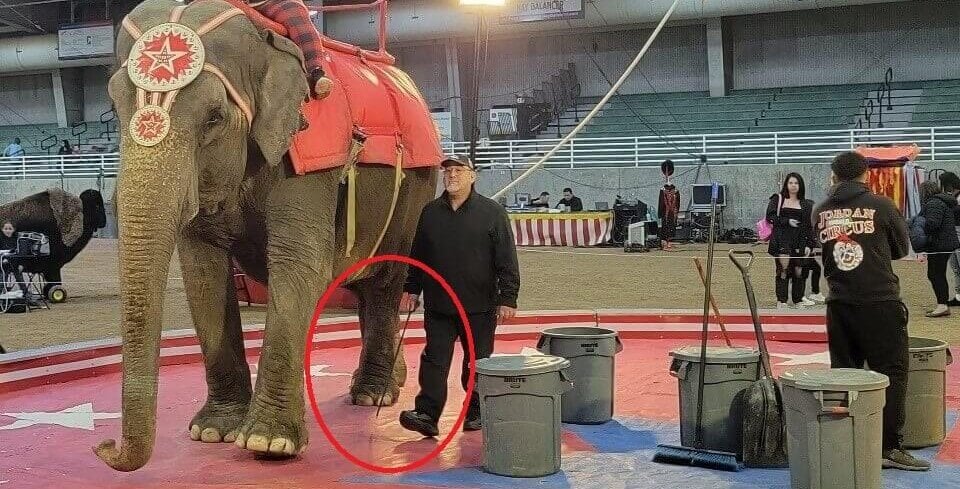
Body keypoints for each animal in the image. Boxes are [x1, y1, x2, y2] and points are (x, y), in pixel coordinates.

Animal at [95, 0, 440, 472]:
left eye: (215, 118)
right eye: (113, 108)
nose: (104, 446)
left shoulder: (306, 155)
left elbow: (297, 263)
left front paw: (268, 443)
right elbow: (202, 272)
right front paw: (212, 432)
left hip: (416, 190)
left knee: (386, 281)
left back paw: (373, 394)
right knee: (365, 286)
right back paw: (388, 381)